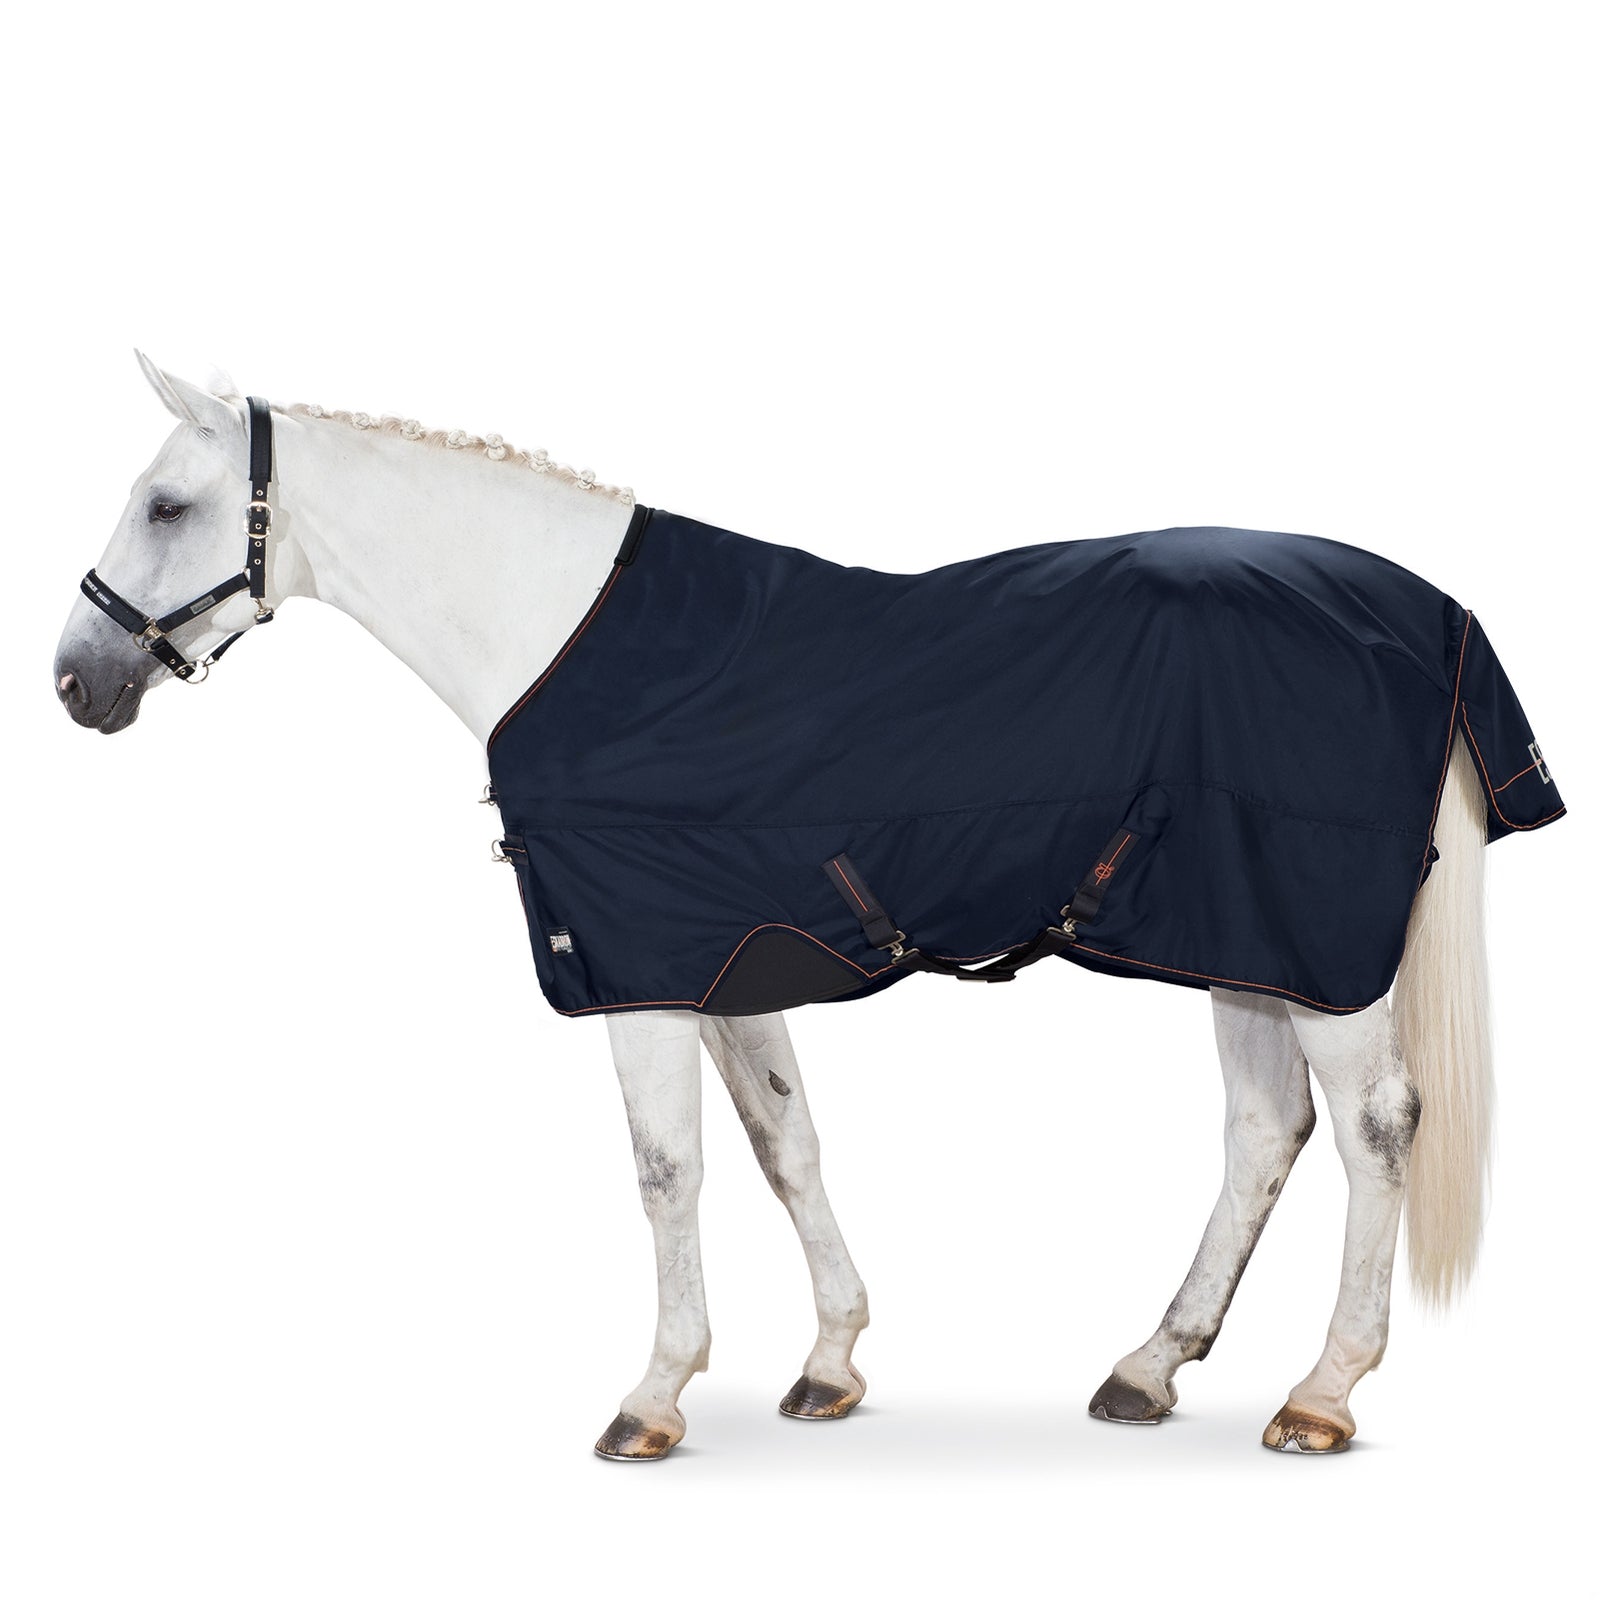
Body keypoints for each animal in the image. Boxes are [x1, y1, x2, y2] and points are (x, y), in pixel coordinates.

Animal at [54, 353, 1562, 1461]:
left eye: (169, 506)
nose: (78, 681)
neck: (570, 639)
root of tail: (1429, 615)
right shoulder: (732, 966)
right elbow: (787, 1148)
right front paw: (830, 1361)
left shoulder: (645, 970)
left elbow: (669, 1171)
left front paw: (653, 1395)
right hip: (1245, 942)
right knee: (1263, 1133)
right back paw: (1148, 1366)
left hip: (1318, 949)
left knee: (1376, 1131)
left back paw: (1322, 1393)